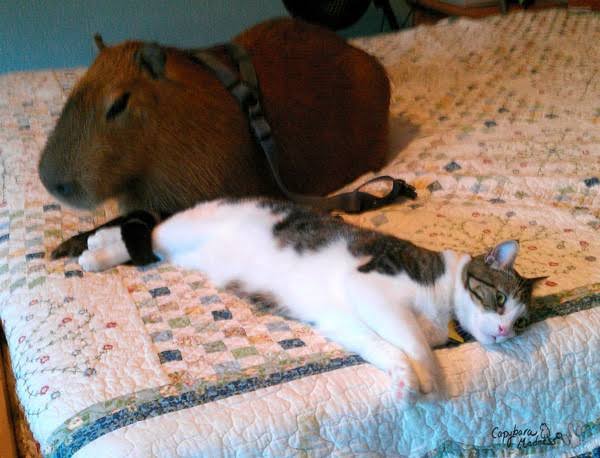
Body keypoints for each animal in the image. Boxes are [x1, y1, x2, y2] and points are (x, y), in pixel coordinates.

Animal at [76, 199, 544, 402]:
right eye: (498, 298)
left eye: (522, 322)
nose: (505, 330)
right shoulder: (370, 286)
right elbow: (414, 346)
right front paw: (428, 379)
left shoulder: (345, 320)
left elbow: (386, 347)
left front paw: (403, 379)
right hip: (185, 230)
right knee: (149, 229)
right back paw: (96, 250)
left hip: (184, 251)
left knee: (150, 242)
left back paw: (99, 249)